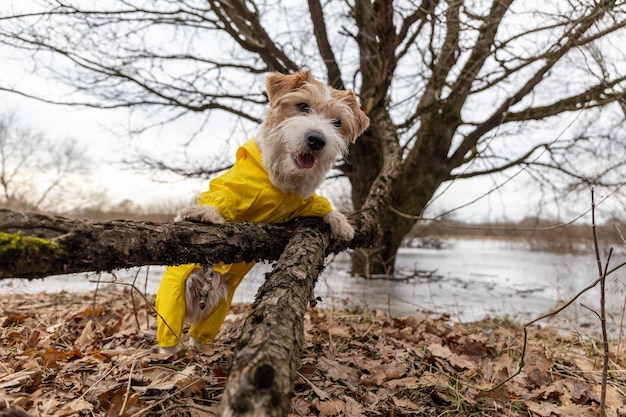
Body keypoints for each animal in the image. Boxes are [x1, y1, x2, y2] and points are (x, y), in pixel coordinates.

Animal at [155, 70, 368, 352]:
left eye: (337, 122)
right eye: (302, 106)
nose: (316, 140)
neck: (281, 180)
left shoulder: (301, 202)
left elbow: (318, 204)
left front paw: (340, 222)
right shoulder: (233, 186)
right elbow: (220, 194)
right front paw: (202, 212)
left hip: (217, 312)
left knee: (199, 336)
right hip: (173, 299)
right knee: (169, 335)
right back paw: (169, 351)